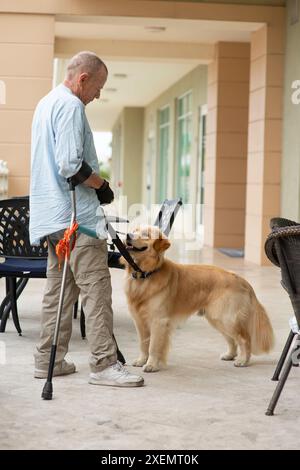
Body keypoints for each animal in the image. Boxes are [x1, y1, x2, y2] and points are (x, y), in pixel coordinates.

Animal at [121, 226, 274, 372]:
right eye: (134, 230)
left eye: (145, 234)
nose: (127, 235)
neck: (146, 274)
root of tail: (241, 279)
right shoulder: (139, 321)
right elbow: (143, 344)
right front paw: (141, 360)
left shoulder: (159, 321)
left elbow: (153, 346)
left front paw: (151, 365)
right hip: (217, 319)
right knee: (232, 339)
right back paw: (230, 355)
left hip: (226, 318)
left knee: (244, 339)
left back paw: (243, 360)